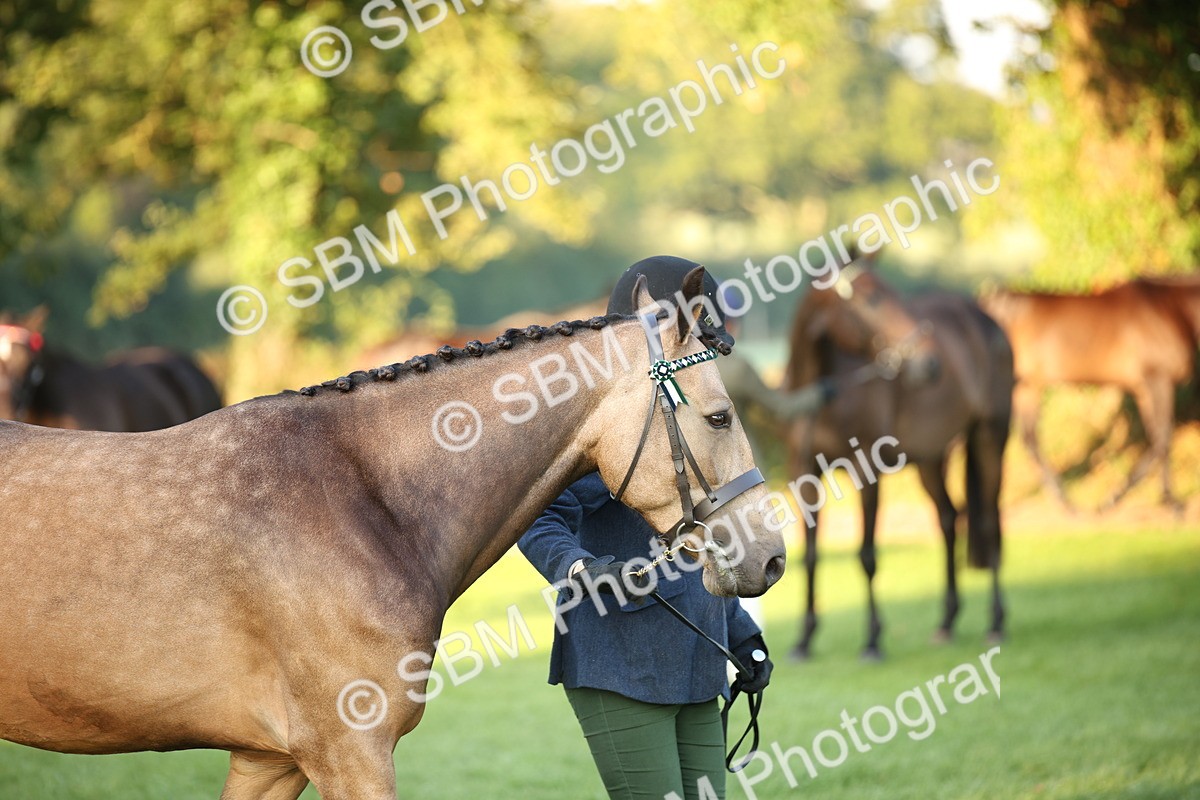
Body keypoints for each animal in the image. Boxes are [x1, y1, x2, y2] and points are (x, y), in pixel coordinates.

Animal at [784, 261, 1014, 659]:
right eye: (872, 299)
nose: (929, 362)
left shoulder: (866, 473)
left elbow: (867, 554)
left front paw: (873, 640)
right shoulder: (805, 475)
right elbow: (810, 556)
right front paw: (804, 640)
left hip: (990, 437)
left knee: (987, 520)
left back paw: (996, 623)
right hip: (931, 460)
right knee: (949, 519)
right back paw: (946, 623)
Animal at [980, 276, 1200, 511]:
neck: (1170, 308)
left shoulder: (1144, 390)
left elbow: (1156, 438)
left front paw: (1119, 496)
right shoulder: (1159, 382)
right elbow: (1163, 439)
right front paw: (1170, 501)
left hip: (1026, 388)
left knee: (1028, 441)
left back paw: (1062, 499)